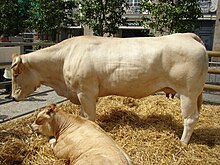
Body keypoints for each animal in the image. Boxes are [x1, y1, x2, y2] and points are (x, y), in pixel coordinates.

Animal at [11, 32, 208, 144]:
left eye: (15, 74)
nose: (13, 97)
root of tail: (187, 36)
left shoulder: (86, 92)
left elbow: (90, 117)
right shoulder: (81, 94)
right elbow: (83, 115)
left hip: (188, 93)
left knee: (190, 119)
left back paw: (182, 143)